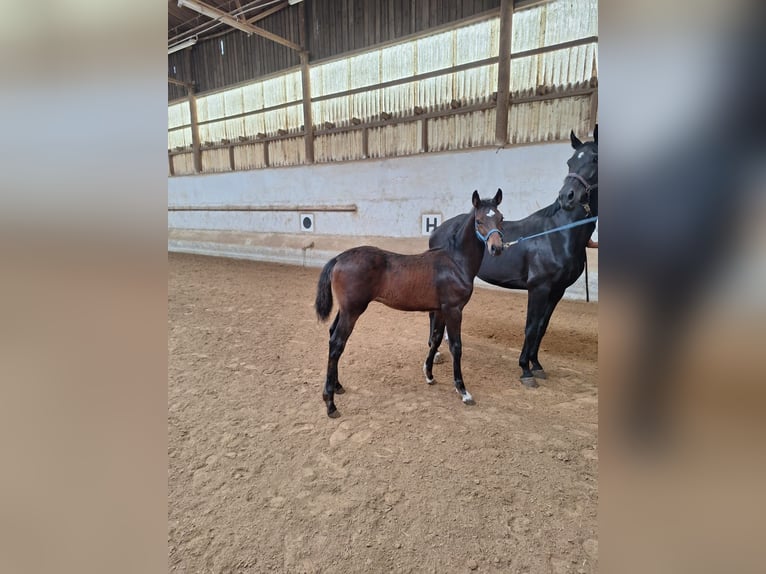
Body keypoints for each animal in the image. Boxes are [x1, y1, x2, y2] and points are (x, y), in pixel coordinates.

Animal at [316, 189, 508, 418]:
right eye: (479, 221)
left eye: (501, 218)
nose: (496, 248)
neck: (455, 262)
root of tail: (338, 258)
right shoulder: (454, 310)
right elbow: (456, 347)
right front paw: (463, 391)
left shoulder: (440, 310)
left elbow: (435, 340)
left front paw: (429, 375)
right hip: (353, 311)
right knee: (337, 343)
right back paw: (330, 403)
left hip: (345, 309)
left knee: (331, 334)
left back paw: (337, 386)